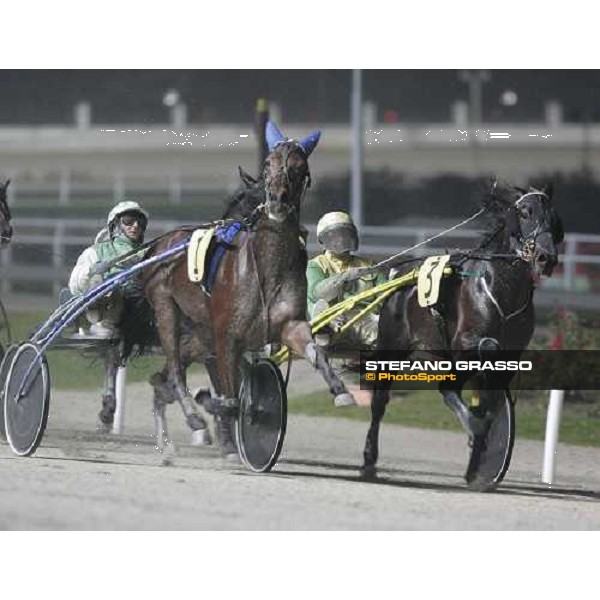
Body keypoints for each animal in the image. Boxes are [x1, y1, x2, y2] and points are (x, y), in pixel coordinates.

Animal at [138, 120, 354, 450]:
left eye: (300, 167)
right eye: (267, 164)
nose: (277, 199)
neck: (266, 269)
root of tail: (161, 243)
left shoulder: (288, 324)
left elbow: (315, 352)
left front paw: (340, 390)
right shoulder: (226, 335)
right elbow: (230, 395)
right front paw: (225, 423)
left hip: (198, 329)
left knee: (166, 377)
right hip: (165, 307)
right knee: (174, 370)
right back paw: (194, 419)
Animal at [364, 180, 564, 490]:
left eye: (553, 217)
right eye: (525, 212)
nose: (546, 258)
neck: (502, 289)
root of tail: (399, 274)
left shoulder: (511, 354)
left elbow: (489, 403)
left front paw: (478, 466)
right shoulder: (465, 344)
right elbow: (468, 376)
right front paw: (476, 435)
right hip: (392, 347)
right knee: (380, 403)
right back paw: (369, 460)